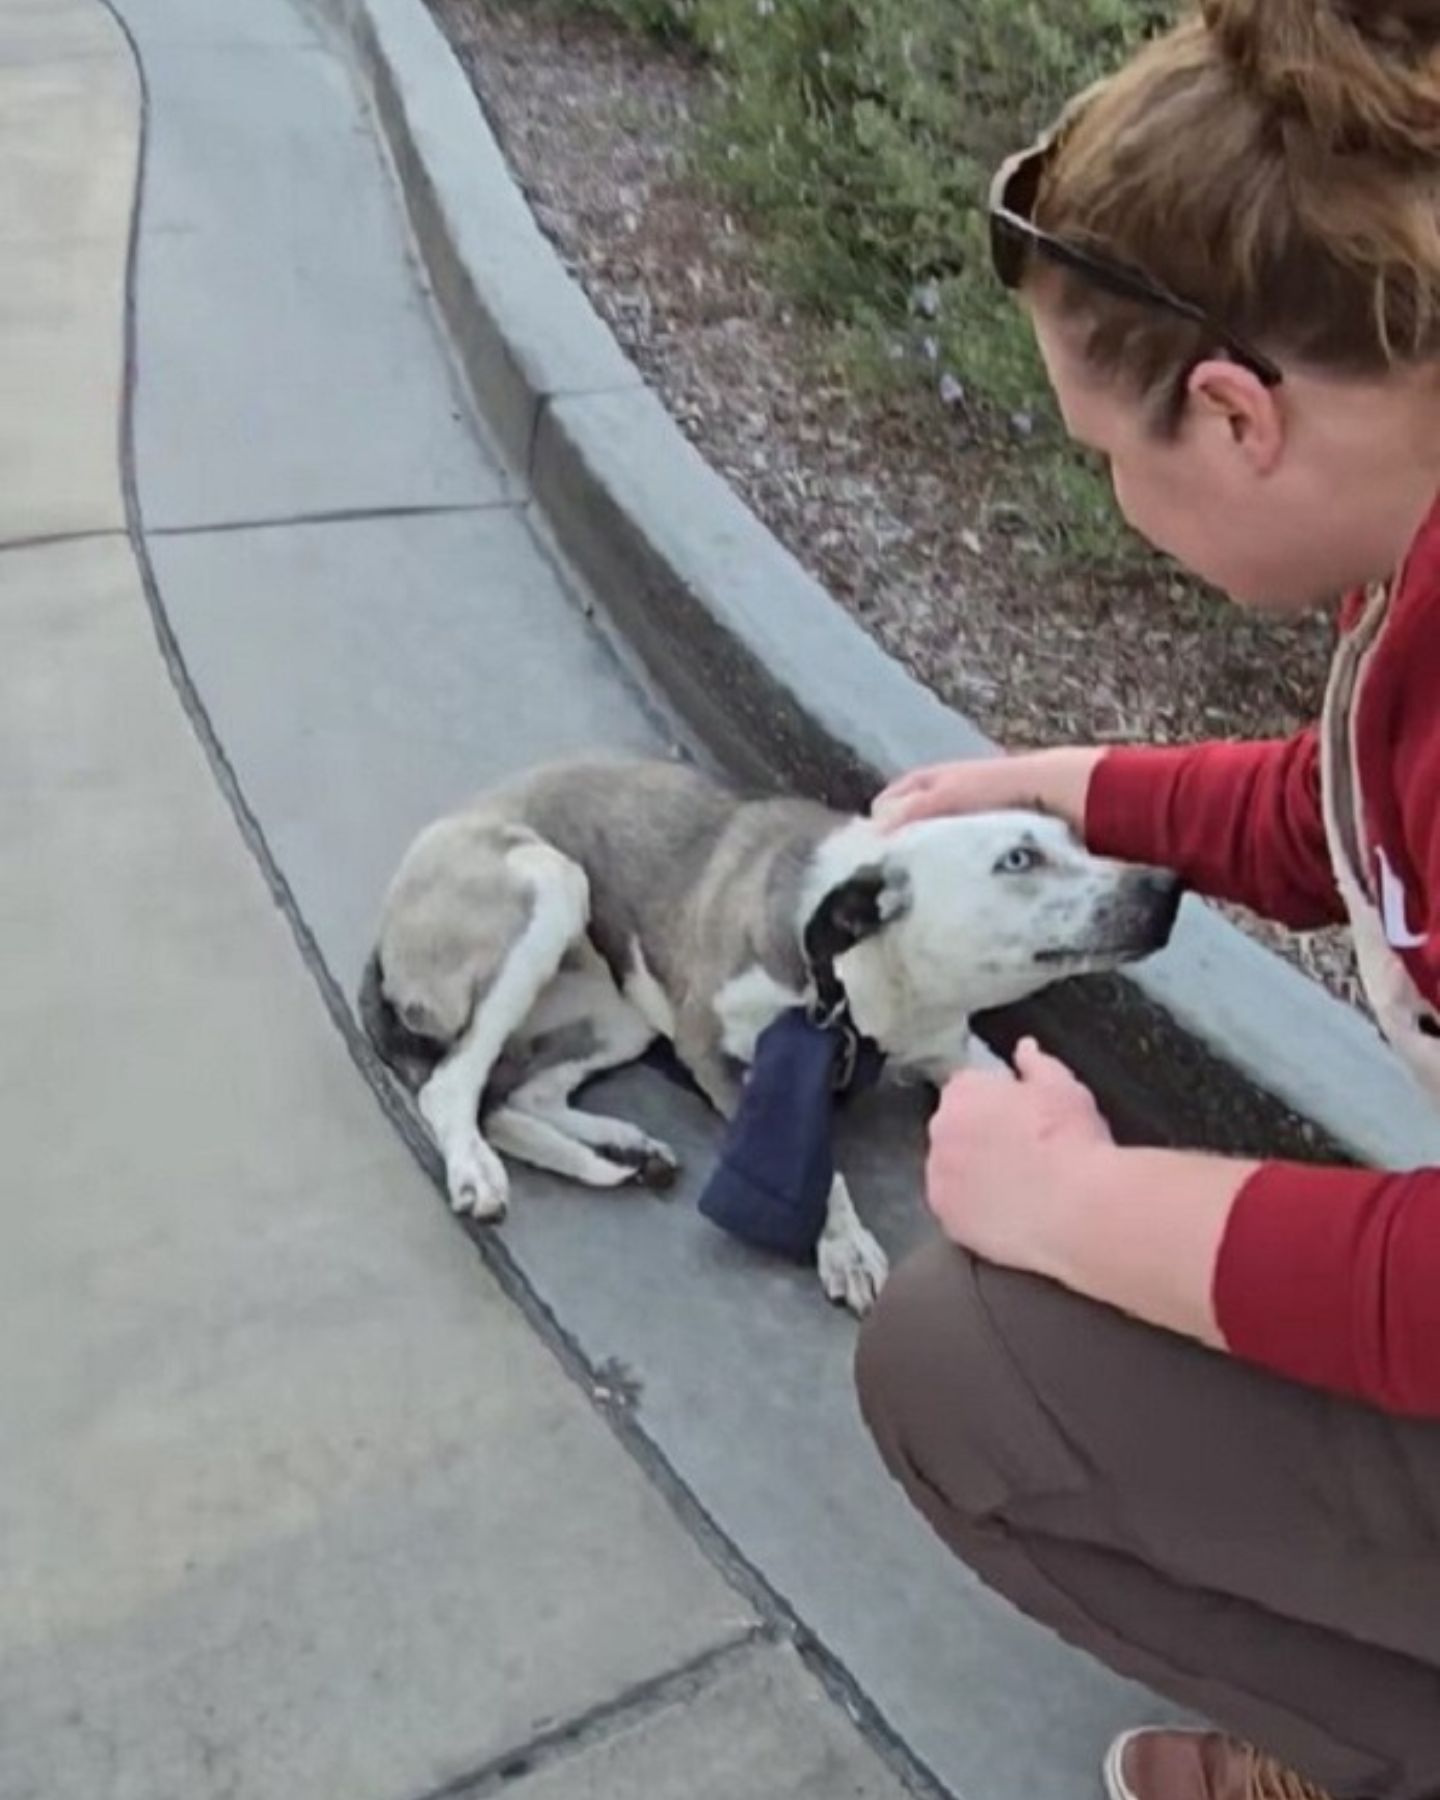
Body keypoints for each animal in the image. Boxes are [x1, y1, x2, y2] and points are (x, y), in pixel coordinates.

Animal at [360, 752, 1180, 1317]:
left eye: (1079, 840)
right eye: (1019, 858)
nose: (1167, 887)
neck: (859, 980)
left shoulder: (954, 1048)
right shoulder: (715, 1051)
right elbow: (815, 1157)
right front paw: (843, 1242)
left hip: (621, 1008)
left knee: (515, 1094)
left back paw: (621, 1148)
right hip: (551, 881)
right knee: (454, 1086)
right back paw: (478, 1166)